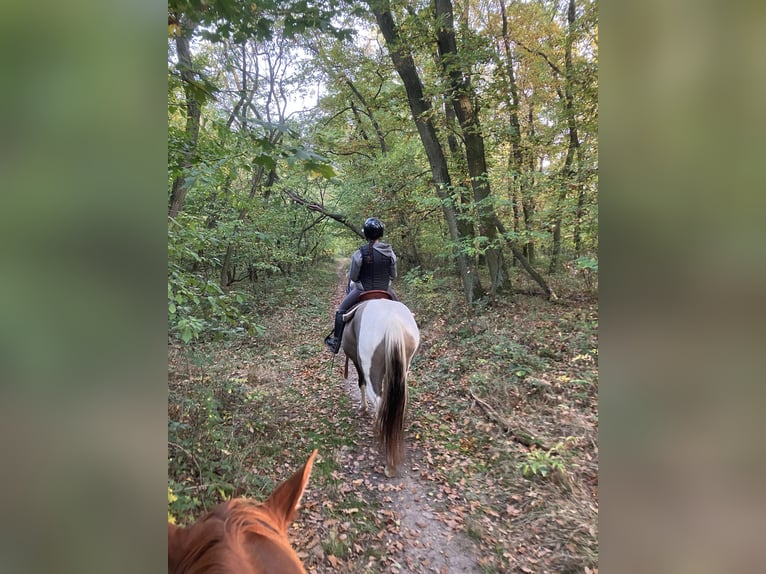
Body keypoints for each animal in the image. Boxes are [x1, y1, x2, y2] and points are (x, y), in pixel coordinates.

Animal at [341, 297, 420, 477]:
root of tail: (393, 321)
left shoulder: (357, 361)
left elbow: (360, 383)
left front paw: (362, 408)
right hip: (403, 368)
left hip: (371, 369)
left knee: (380, 404)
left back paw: (388, 462)